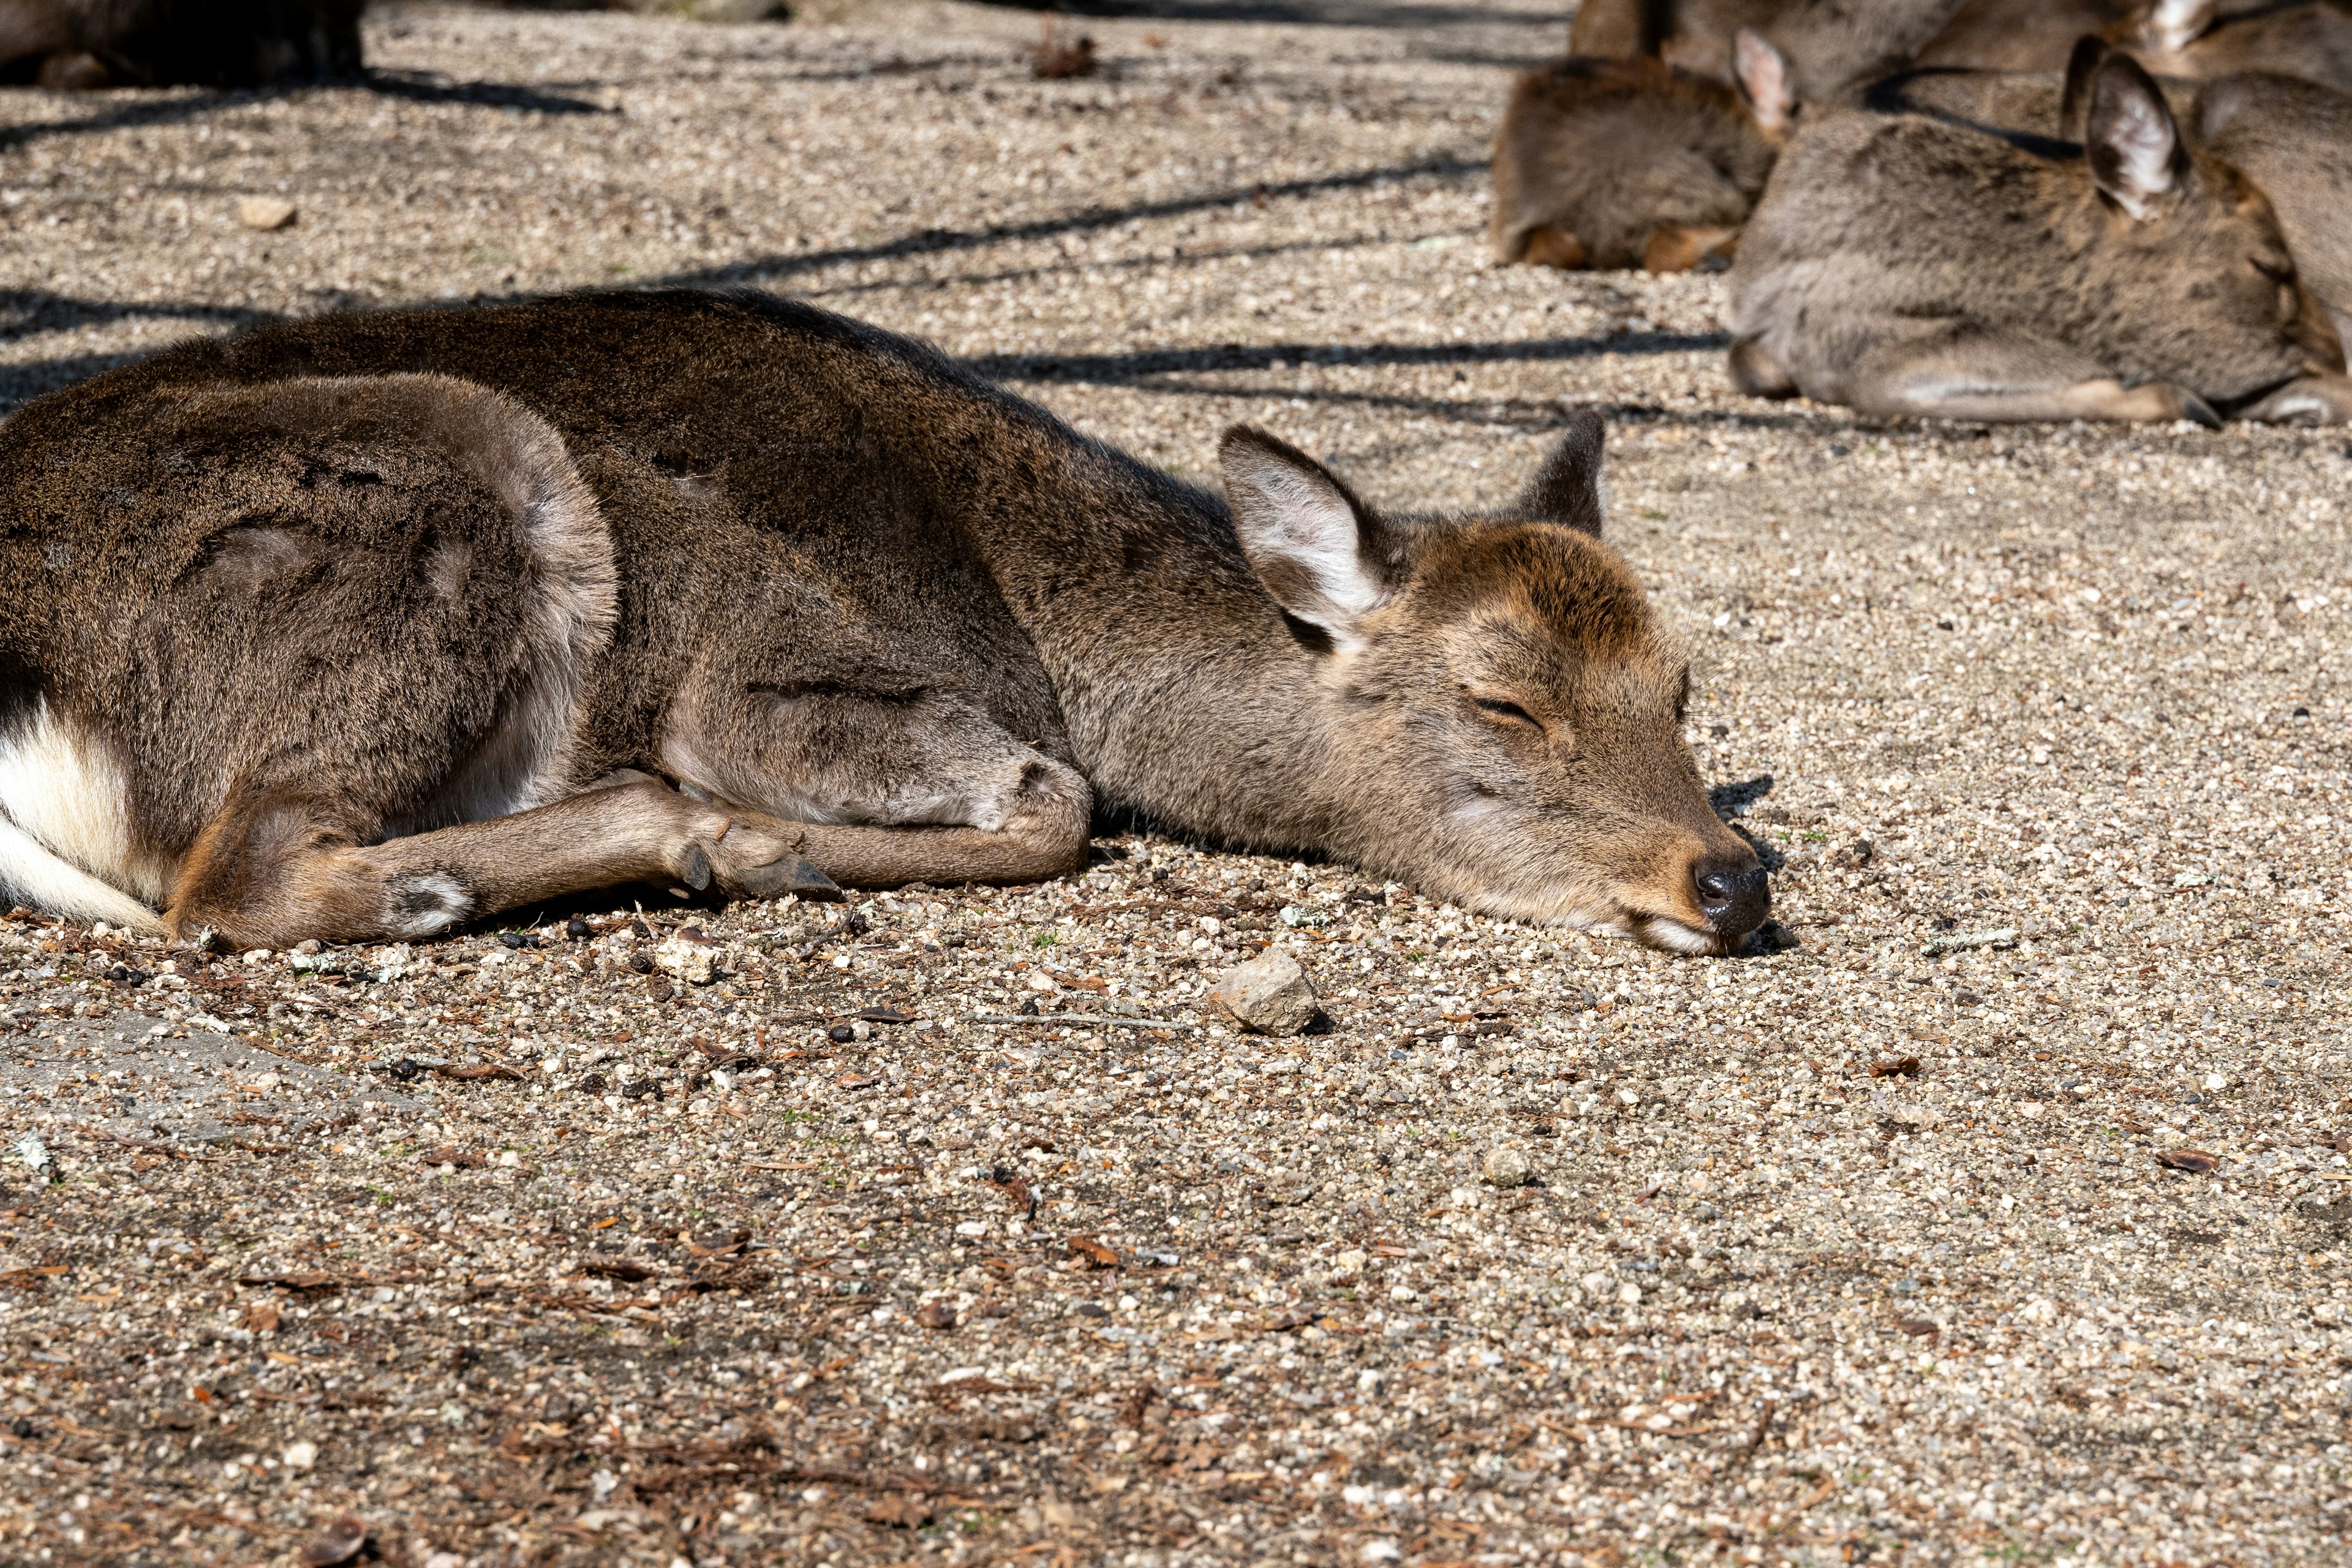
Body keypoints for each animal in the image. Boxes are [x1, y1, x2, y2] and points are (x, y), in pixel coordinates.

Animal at [0, 292, 1768, 959]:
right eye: (1502, 700)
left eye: (1683, 687)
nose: (1731, 877)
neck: (1042, 632)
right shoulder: (758, 670)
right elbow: (1058, 801)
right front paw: (762, 845)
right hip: (474, 481)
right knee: (227, 878)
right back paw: (644, 843)